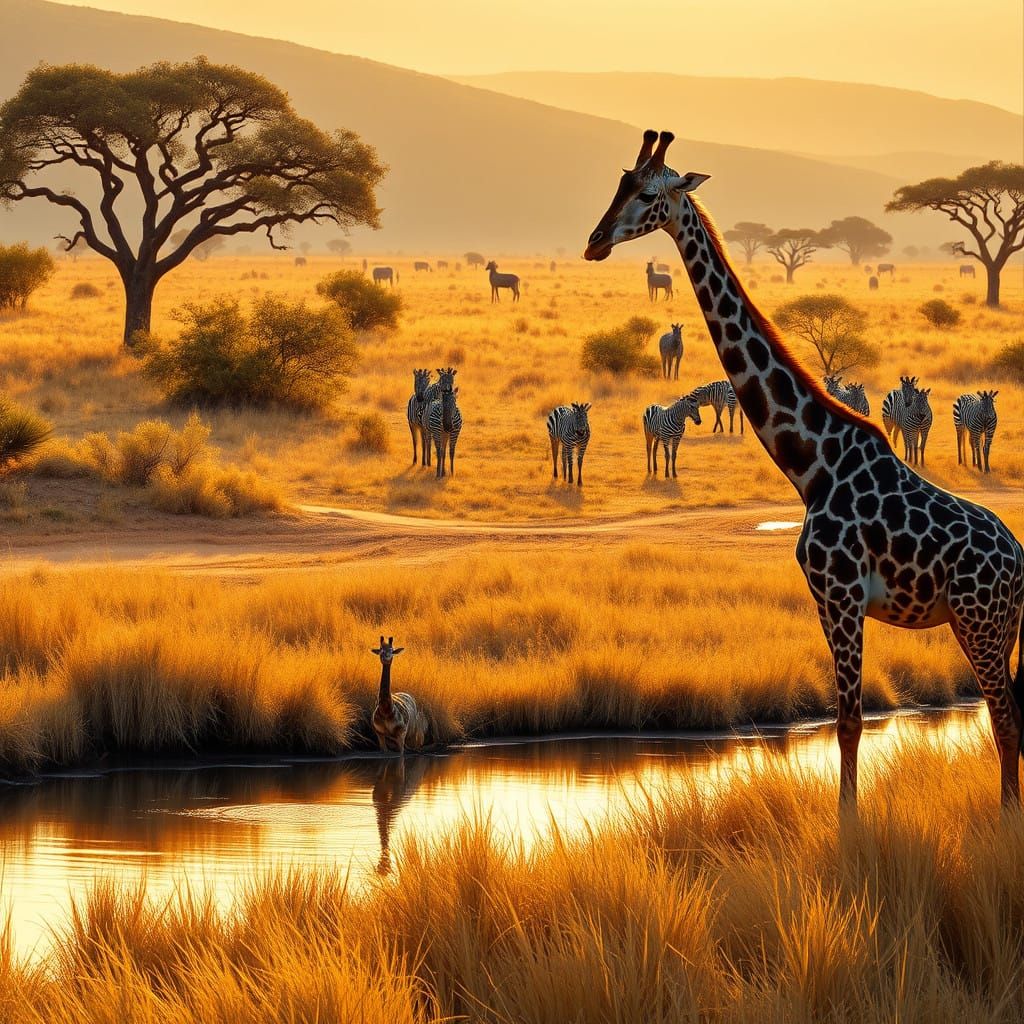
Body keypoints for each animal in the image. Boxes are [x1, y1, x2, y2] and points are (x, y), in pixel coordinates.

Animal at [584, 129, 1024, 808]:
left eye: (651, 194)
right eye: (620, 182)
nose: (596, 240)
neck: (811, 463)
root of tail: (1019, 559)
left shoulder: (840, 591)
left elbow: (848, 722)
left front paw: (849, 826)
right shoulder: (824, 598)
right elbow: (846, 720)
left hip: (980, 620)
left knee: (1003, 719)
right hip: (996, 627)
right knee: (1013, 717)